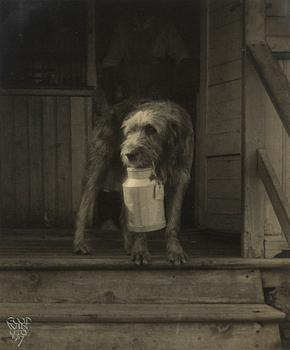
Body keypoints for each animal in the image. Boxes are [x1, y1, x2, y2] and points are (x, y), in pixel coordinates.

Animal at [73, 100, 194, 264]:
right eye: (129, 132)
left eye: (151, 129)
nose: (128, 154)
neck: (162, 156)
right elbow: (139, 223)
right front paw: (141, 250)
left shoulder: (180, 179)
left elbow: (173, 221)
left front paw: (175, 250)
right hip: (97, 167)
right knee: (84, 206)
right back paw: (79, 243)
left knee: (124, 215)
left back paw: (129, 245)